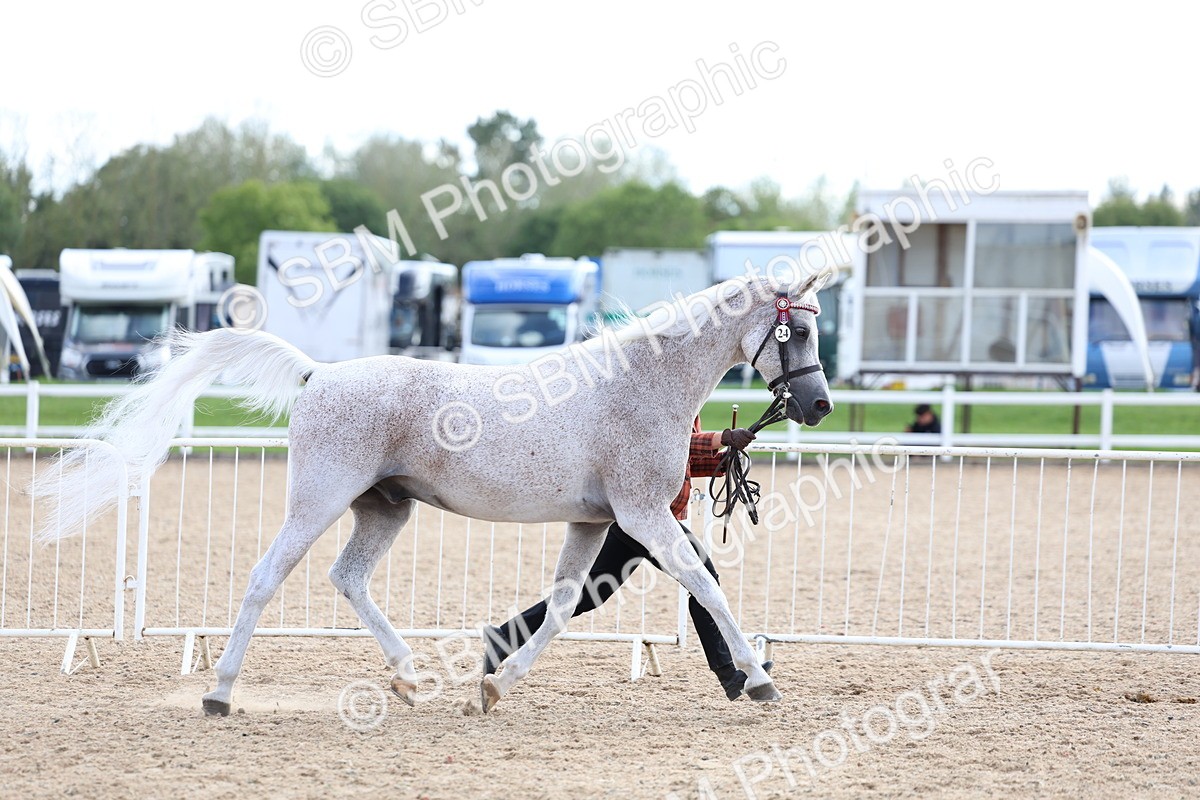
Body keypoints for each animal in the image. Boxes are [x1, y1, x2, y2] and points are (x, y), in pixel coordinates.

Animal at [32, 271, 833, 715]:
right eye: (793, 334)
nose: (820, 405)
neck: (637, 385)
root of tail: (317, 374)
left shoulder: (593, 523)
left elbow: (564, 606)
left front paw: (497, 686)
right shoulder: (641, 516)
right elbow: (707, 585)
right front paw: (758, 681)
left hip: (386, 507)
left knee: (347, 577)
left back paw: (411, 678)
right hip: (317, 501)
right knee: (266, 580)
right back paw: (220, 693)